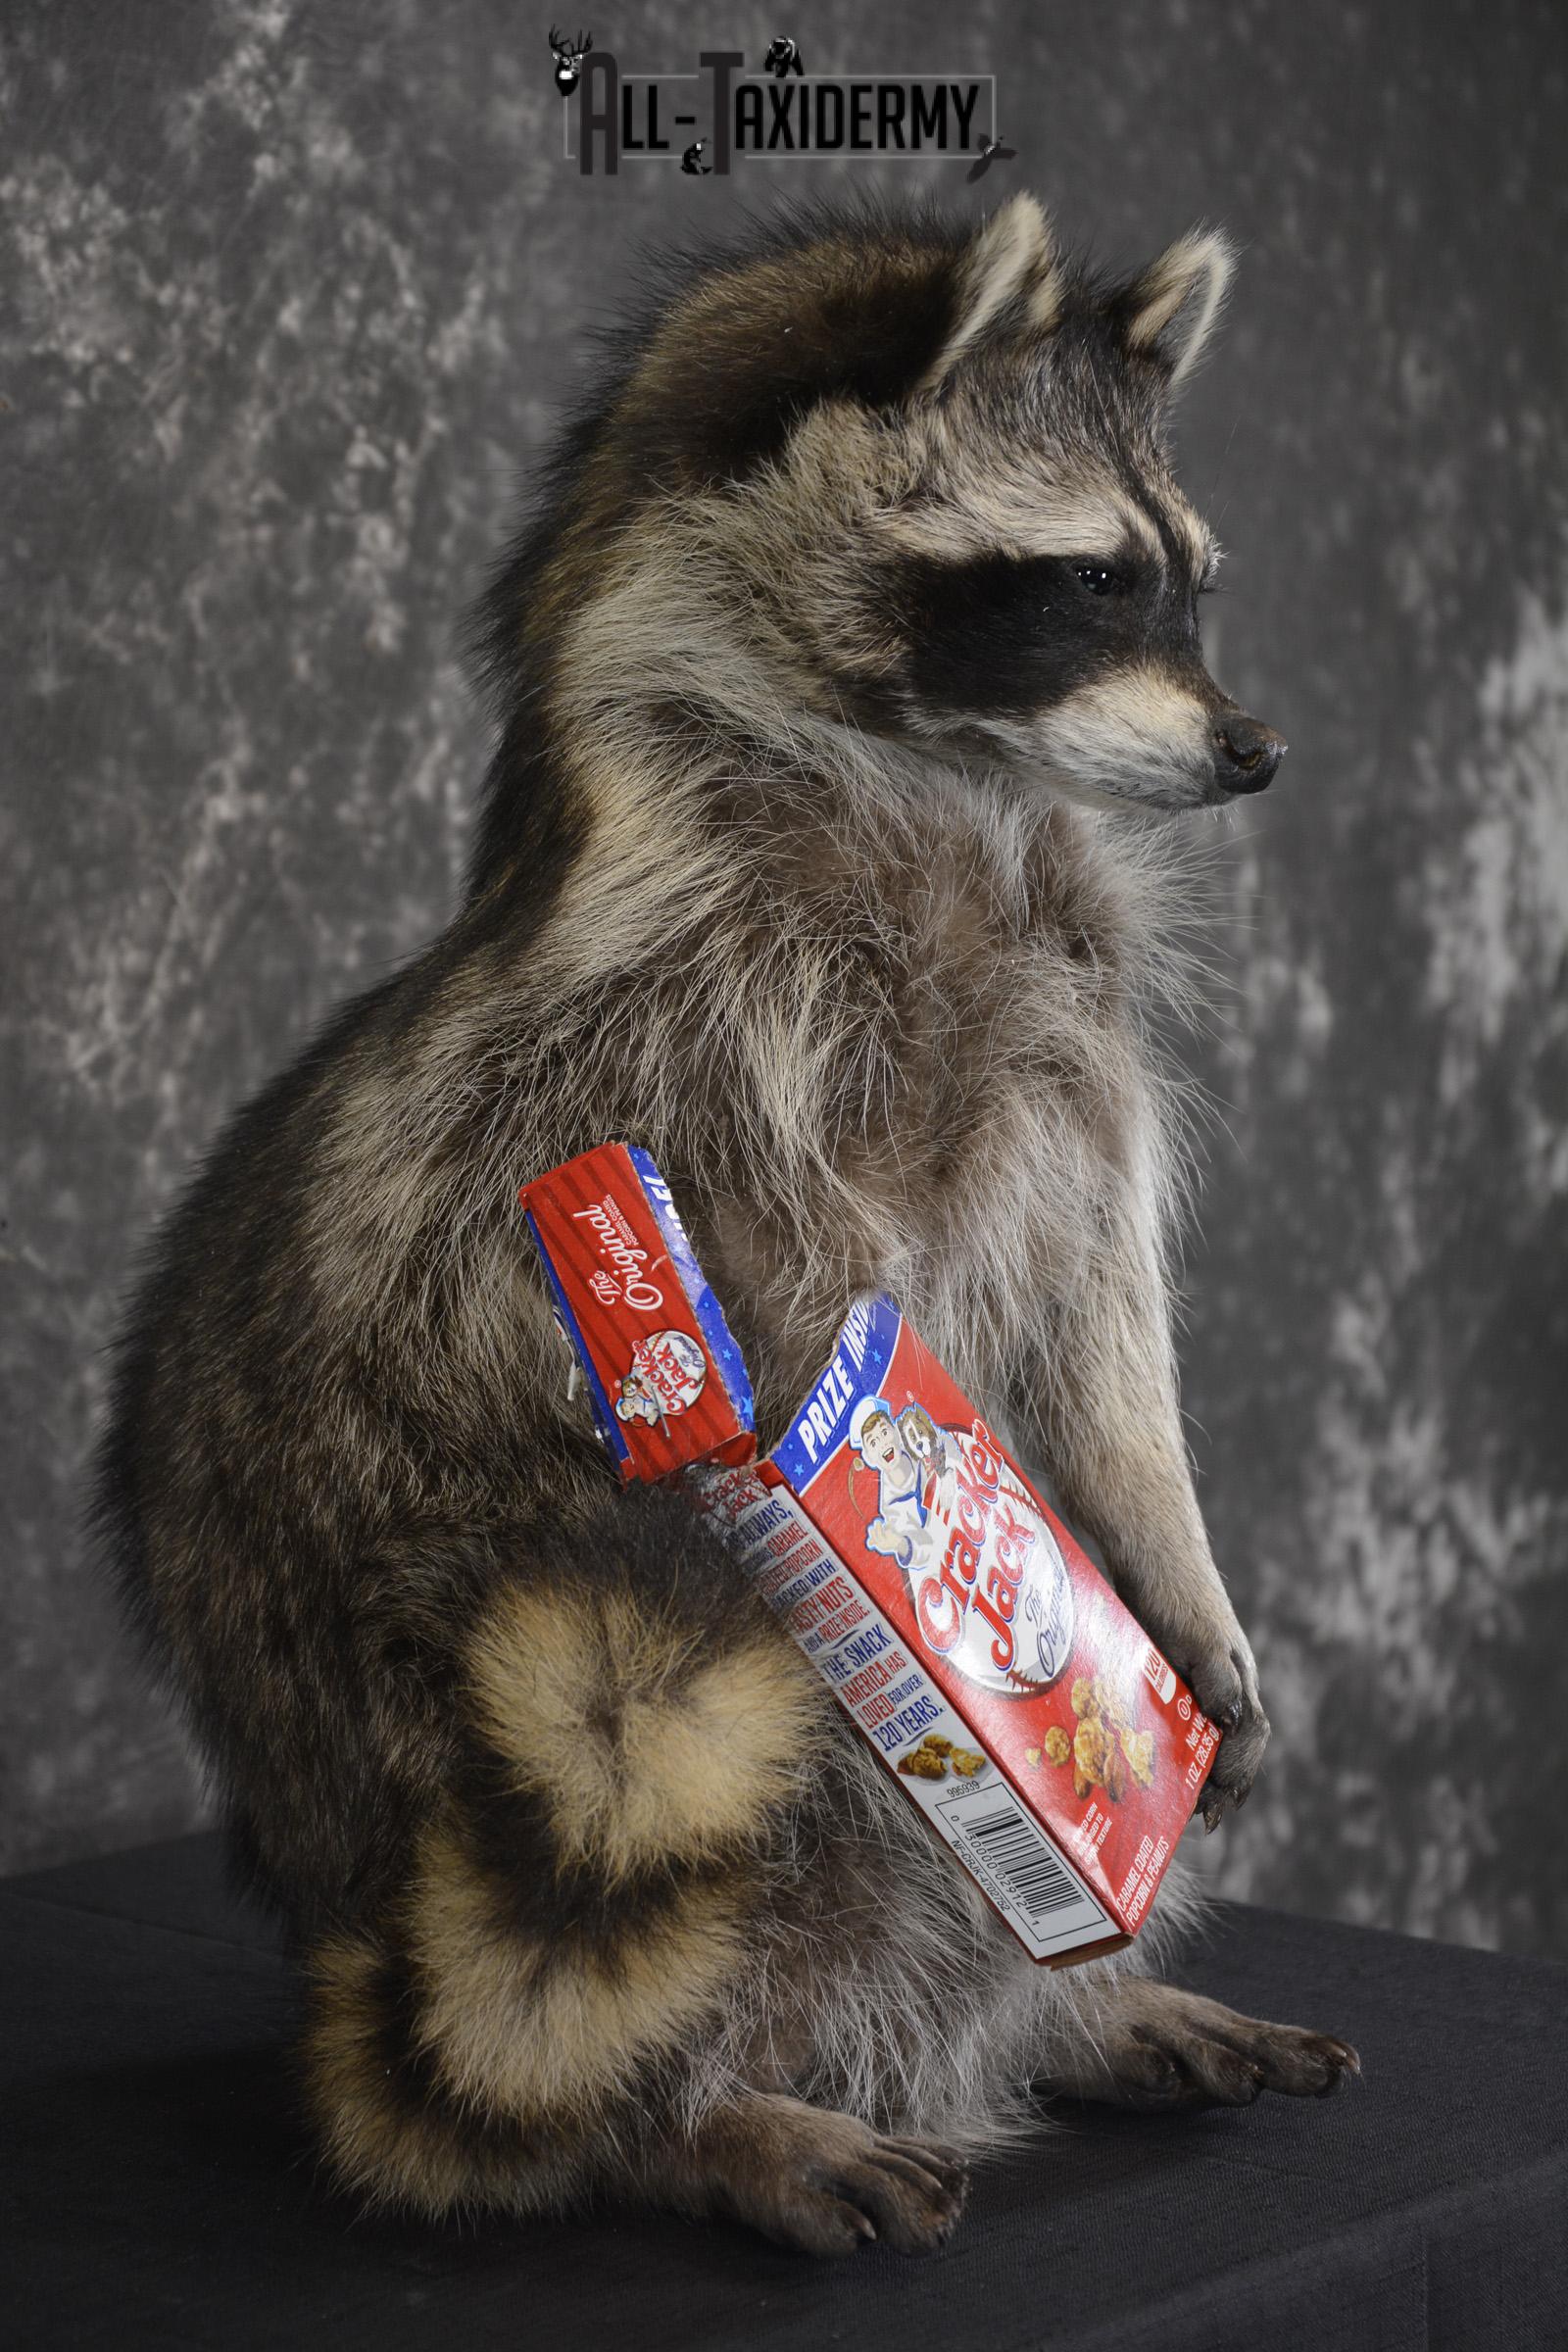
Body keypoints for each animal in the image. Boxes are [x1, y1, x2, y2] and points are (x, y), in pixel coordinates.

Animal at [97, 195, 1357, 2257]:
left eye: (1187, 585)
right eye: (1087, 579)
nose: (1255, 750)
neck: (953, 771)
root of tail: (362, 1937)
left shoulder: (1071, 1020)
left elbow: (1104, 1301)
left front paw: (1171, 1578)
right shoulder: (679, 1018)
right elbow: (782, 1310)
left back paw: (1070, 2005)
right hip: (537, 1720)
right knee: (712, 1865)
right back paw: (701, 2111)